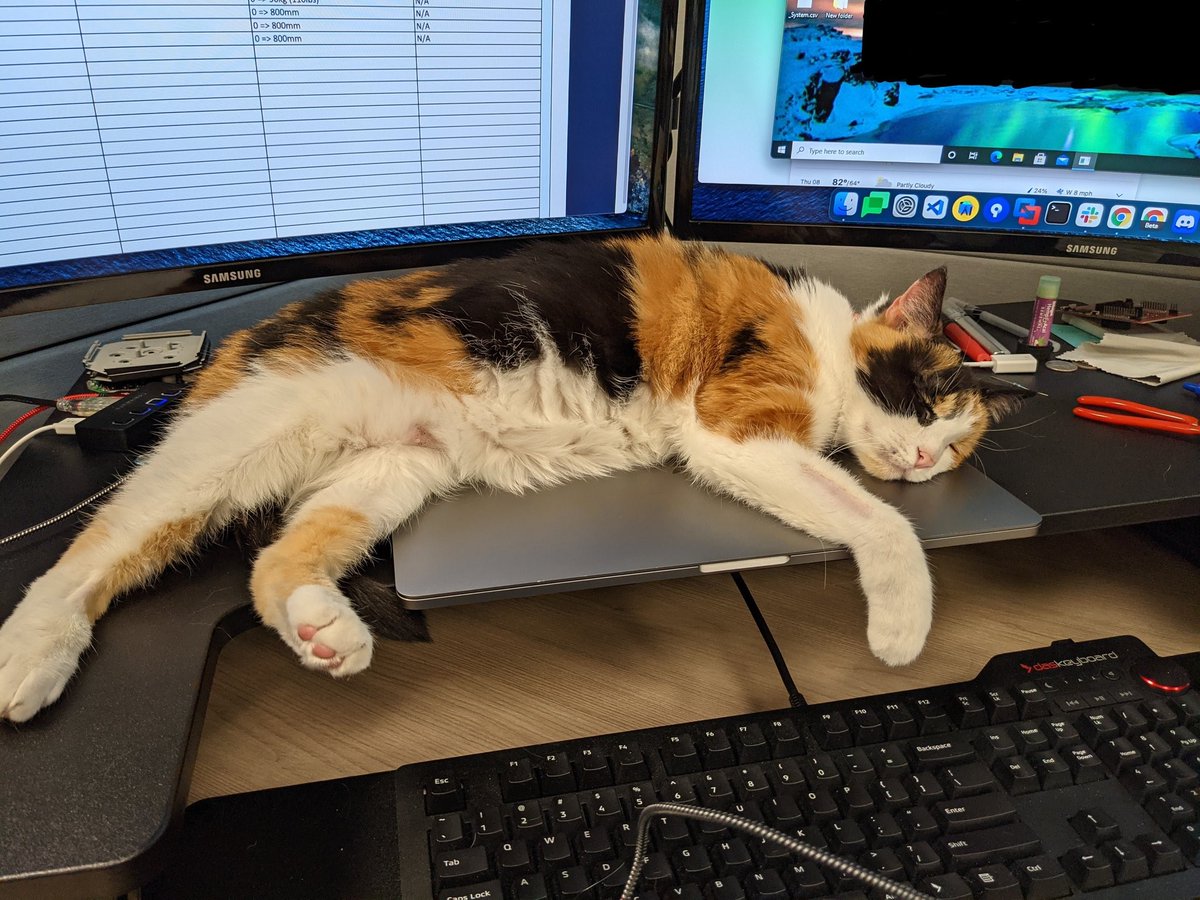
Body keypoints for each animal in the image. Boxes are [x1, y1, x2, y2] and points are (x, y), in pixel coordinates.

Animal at [0, 234, 1022, 724]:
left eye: (957, 447)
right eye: (928, 400)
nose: (926, 460)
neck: (828, 340)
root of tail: (242, 336)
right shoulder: (731, 428)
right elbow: (880, 520)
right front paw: (902, 626)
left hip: (392, 468)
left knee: (272, 564)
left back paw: (327, 633)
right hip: (242, 440)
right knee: (93, 549)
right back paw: (31, 657)